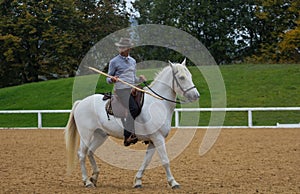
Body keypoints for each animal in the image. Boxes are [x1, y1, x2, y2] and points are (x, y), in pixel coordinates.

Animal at [65, 59, 200, 189]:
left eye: (190, 75)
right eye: (182, 77)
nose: (196, 95)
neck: (157, 103)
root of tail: (81, 102)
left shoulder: (153, 140)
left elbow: (147, 160)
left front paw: (138, 181)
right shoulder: (158, 138)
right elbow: (165, 160)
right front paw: (173, 182)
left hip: (101, 135)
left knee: (90, 152)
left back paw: (94, 177)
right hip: (86, 135)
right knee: (82, 154)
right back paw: (87, 181)